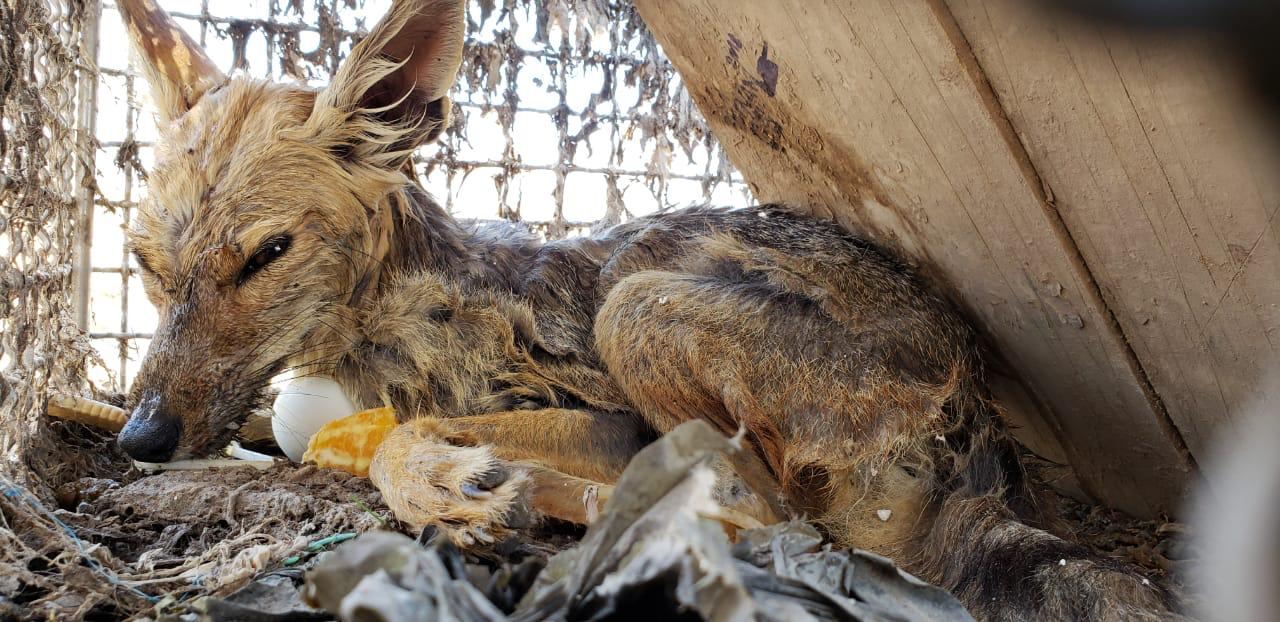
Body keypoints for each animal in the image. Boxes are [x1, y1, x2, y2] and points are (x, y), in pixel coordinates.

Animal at [115, 0, 1182, 616]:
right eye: (145, 268)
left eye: (267, 254)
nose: (139, 439)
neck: (405, 313)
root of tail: (981, 439)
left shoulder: (600, 414)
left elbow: (400, 441)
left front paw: (446, 483)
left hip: (636, 307)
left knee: (760, 517)